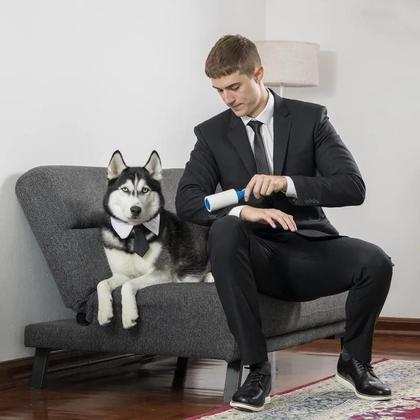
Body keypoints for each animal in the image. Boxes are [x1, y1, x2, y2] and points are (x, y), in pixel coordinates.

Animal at [97, 149, 212, 330]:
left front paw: (129, 316)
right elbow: (101, 284)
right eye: (124, 189)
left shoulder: (161, 273)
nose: (135, 209)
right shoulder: (122, 274)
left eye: (145, 190)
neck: (133, 233)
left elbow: (128, 285)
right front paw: (104, 312)